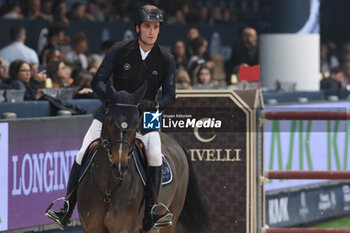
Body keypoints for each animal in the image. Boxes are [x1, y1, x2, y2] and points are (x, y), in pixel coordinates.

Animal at [76, 83, 208, 232]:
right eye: (109, 120)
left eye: (136, 122)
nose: (119, 165)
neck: (107, 188)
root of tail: (176, 144)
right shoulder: (91, 228)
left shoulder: (123, 228)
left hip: (171, 219)